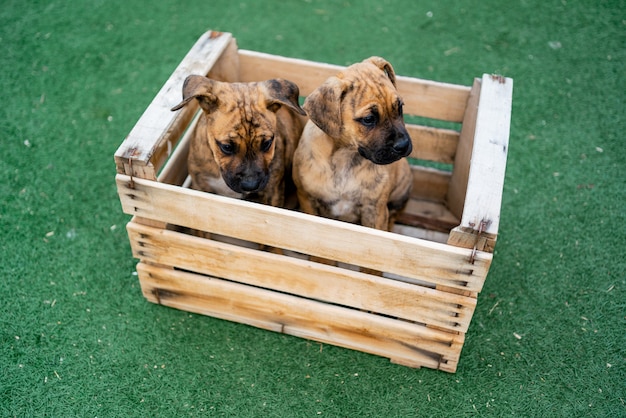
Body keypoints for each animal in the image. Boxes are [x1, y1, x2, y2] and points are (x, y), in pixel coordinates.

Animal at [292, 56, 412, 230]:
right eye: (368, 119)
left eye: (400, 108)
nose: (403, 145)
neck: (345, 156)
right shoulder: (307, 199)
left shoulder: (375, 210)